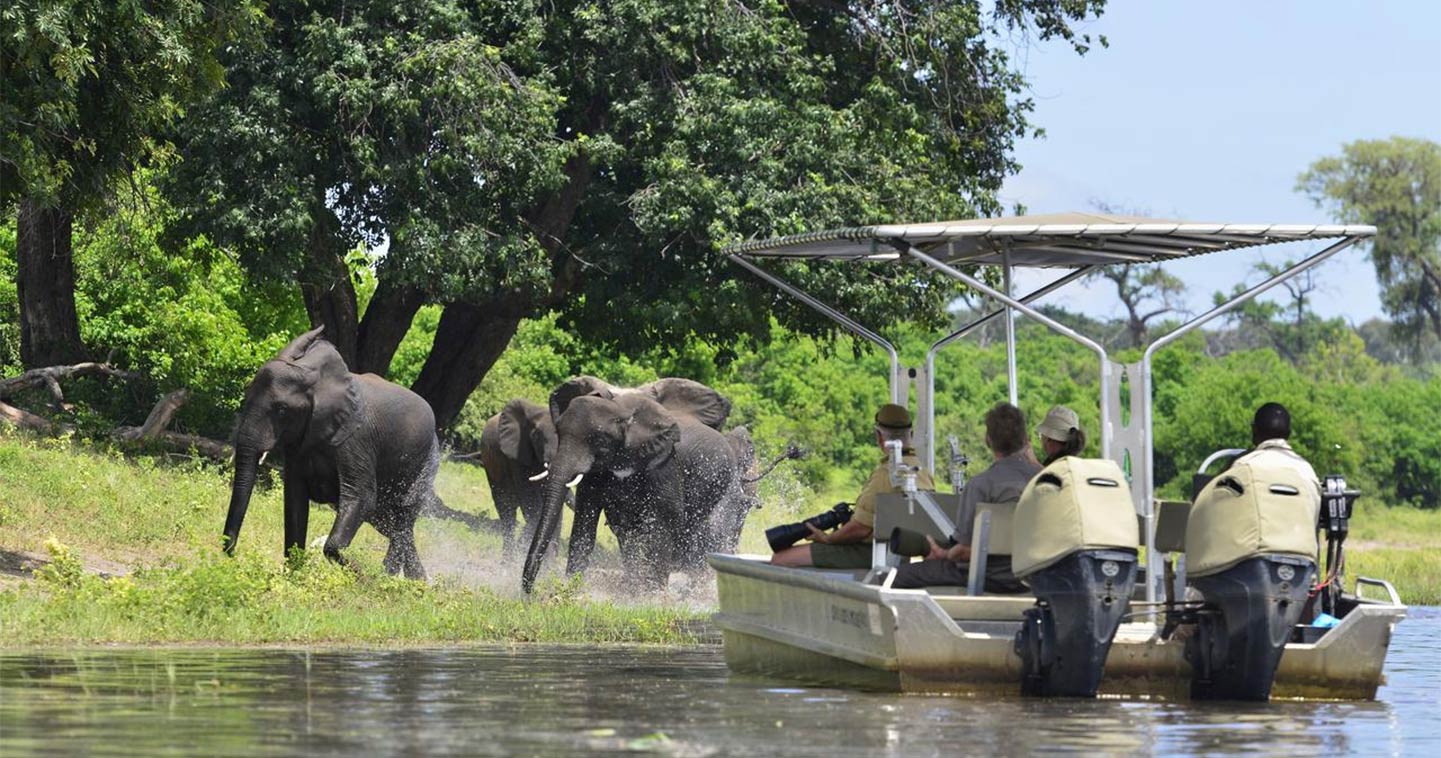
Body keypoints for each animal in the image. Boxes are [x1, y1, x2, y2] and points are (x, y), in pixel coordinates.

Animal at [221, 328, 449, 582]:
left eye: (282, 409)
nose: (232, 554)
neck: (316, 378)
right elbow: (295, 499)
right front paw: (295, 576)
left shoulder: (356, 439)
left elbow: (361, 497)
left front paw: (361, 577)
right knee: (394, 525)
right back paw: (416, 580)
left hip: (426, 462)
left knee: (402, 518)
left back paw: (393, 579)